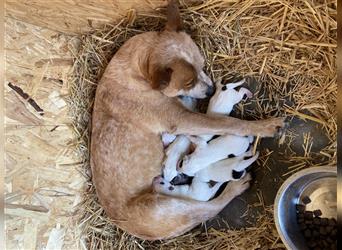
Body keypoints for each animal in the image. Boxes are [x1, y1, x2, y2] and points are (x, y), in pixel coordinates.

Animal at [90, 0, 284, 239]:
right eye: (188, 82)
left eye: (202, 64)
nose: (210, 90)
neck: (137, 71)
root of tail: (122, 224)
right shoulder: (181, 119)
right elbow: (229, 123)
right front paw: (266, 126)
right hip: (170, 207)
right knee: (207, 209)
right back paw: (236, 187)